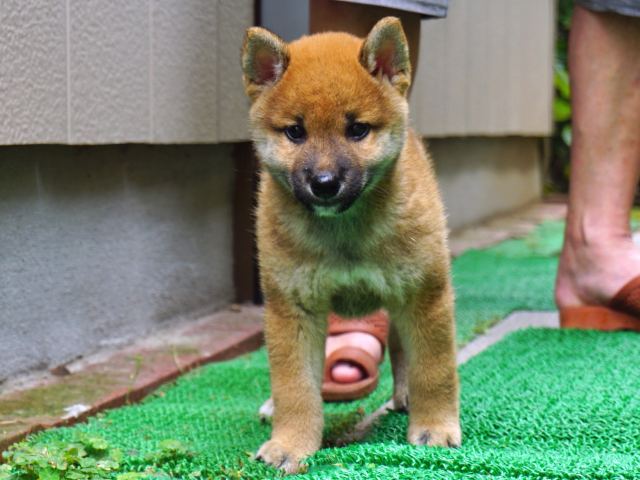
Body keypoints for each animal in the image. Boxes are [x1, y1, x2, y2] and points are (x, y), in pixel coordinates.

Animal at [241, 17, 460, 472]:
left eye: (357, 129)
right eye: (295, 132)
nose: (324, 183)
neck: (344, 234)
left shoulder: (425, 294)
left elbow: (435, 370)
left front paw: (434, 428)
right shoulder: (293, 308)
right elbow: (295, 387)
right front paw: (290, 444)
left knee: (402, 348)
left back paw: (405, 396)